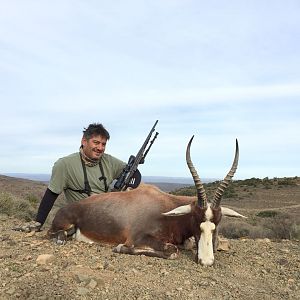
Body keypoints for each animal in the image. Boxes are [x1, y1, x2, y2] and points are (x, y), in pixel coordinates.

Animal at [48, 136, 246, 264]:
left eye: (217, 224)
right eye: (196, 221)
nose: (206, 261)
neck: (167, 209)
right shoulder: (138, 237)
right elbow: (172, 251)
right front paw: (119, 248)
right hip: (63, 227)